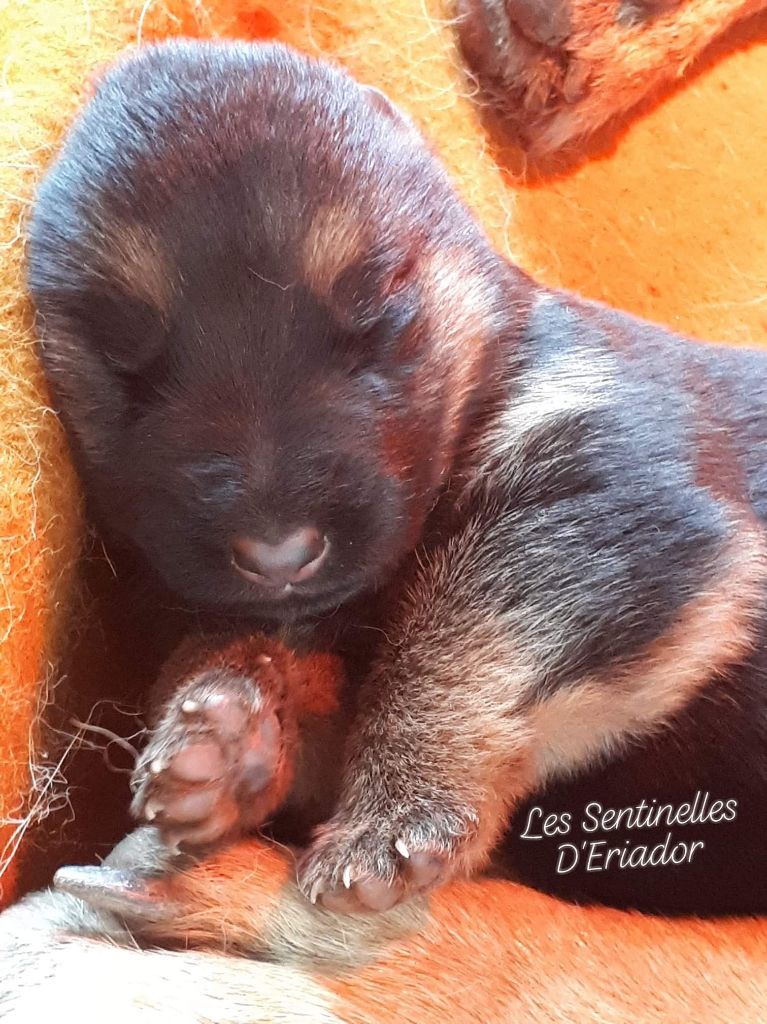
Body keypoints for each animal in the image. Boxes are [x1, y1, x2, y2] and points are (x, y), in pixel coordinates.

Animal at [26, 41, 765, 921]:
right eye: (121, 359)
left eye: (376, 306)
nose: (279, 553)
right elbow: (288, 670)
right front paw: (227, 730)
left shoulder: (607, 499)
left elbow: (453, 646)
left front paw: (392, 814)